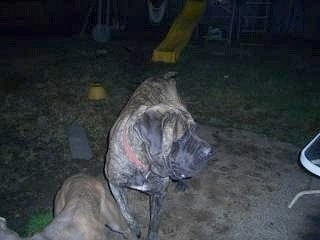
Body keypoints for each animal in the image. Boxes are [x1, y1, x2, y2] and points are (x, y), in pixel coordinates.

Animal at [106, 72, 214, 239]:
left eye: (195, 130)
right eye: (182, 137)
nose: (209, 152)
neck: (144, 165)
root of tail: (162, 77)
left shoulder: (159, 194)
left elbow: (154, 222)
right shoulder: (114, 183)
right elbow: (124, 210)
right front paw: (133, 228)